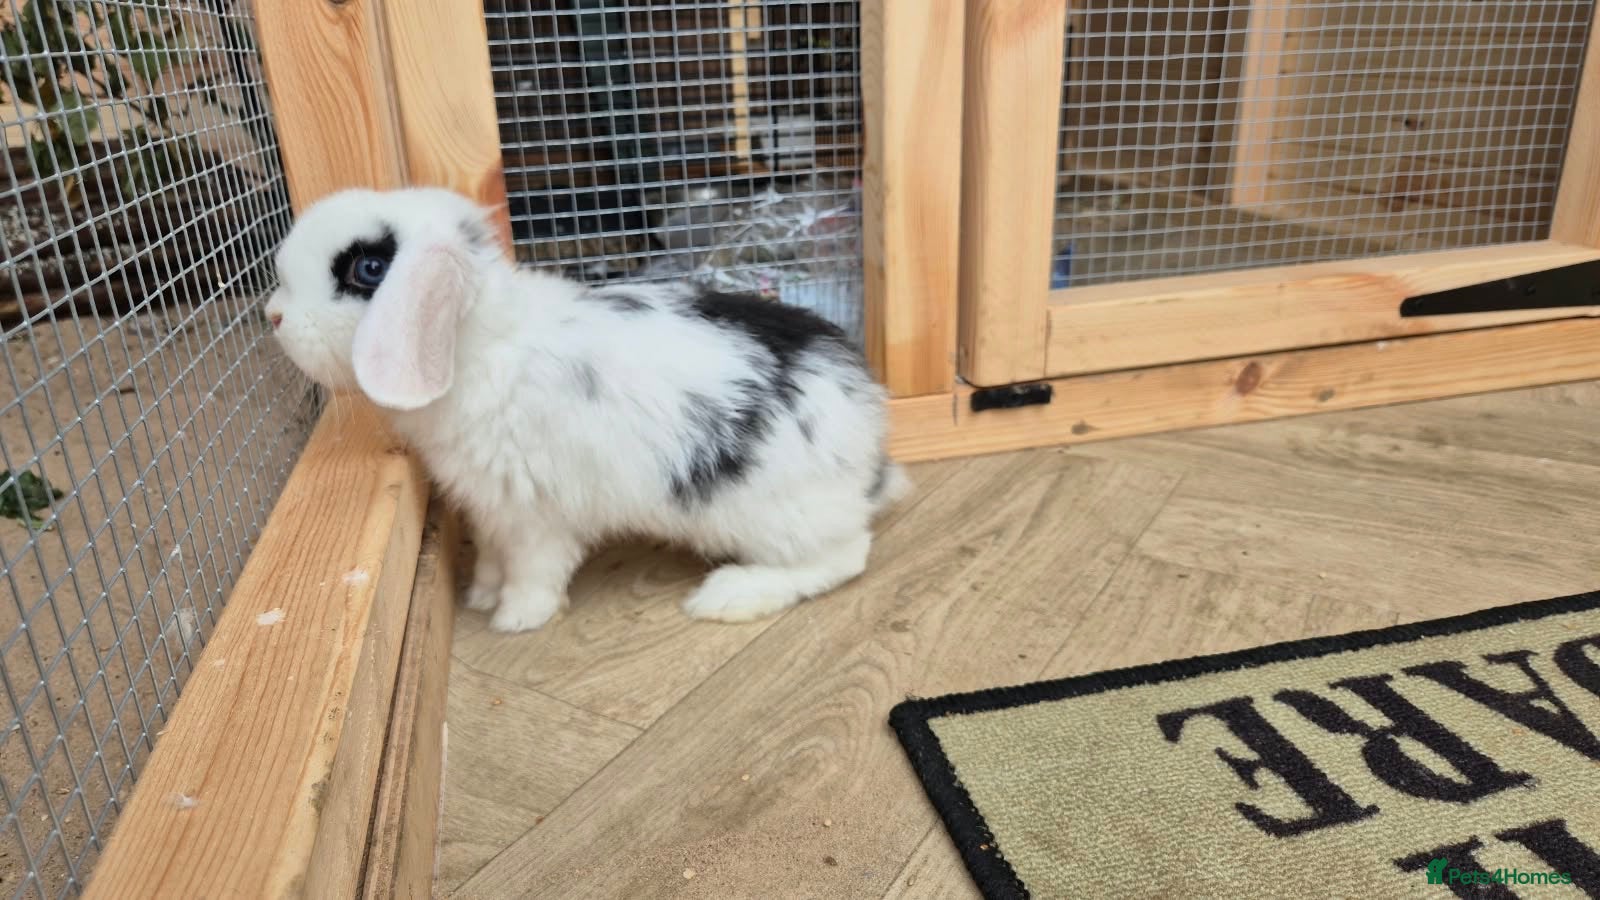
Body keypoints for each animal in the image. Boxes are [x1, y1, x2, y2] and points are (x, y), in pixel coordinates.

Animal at [264, 187, 909, 633]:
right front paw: (482, 594)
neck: (478, 345)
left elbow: (535, 568)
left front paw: (516, 618)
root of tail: (868, 433)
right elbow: (494, 556)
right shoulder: (490, 509)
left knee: (844, 557)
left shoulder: (533, 514)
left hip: (767, 515)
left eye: (367, 270)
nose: (273, 316)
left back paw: (729, 595)